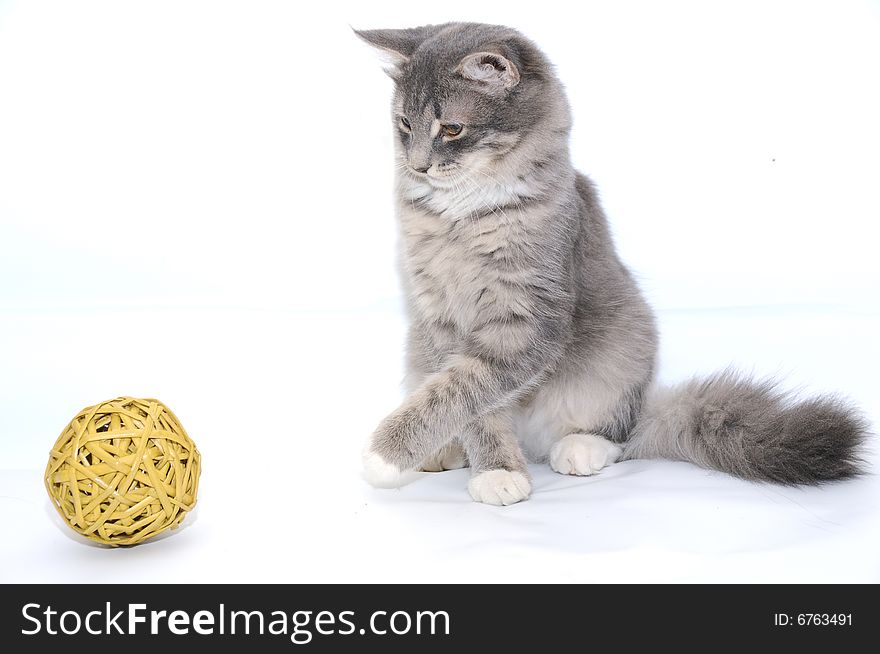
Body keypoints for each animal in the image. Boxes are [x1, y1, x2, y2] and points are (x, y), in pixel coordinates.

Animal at [356, 21, 868, 508]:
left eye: (452, 129)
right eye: (404, 124)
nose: (418, 165)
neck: (462, 215)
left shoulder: (527, 319)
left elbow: (460, 390)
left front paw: (386, 456)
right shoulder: (438, 319)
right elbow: (467, 404)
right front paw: (493, 467)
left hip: (627, 347)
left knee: (621, 435)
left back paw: (581, 448)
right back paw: (446, 453)